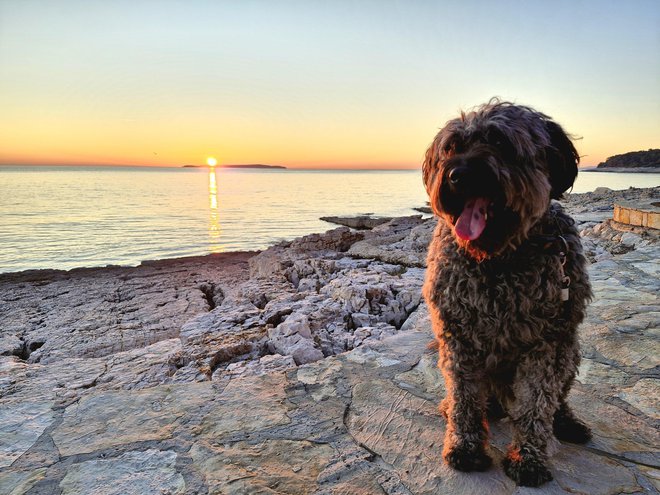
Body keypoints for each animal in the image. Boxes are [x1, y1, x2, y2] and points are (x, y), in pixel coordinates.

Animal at [422, 101, 592, 488]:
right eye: (451, 147)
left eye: (499, 142)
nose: (457, 175)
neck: (498, 256)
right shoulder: (457, 337)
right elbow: (465, 398)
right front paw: (464, 447)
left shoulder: (548, 343)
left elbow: (536, 405)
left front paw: (528, 458)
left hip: (570, 351)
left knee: (557, 399)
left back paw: (567, 421)